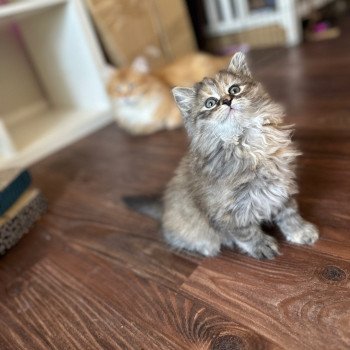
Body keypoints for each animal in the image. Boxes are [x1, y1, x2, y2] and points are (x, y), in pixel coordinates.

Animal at [124, 52, 318, 260]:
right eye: (210, 103)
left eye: (234, 89)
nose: (227, 101)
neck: (247, 142)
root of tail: (164, 208)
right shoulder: (230, 212)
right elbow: (247, 232)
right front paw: (262, 246)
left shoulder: (280, 186)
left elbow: (290, 214)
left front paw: (300, 231)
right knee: (176, 237)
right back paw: (205, 247)